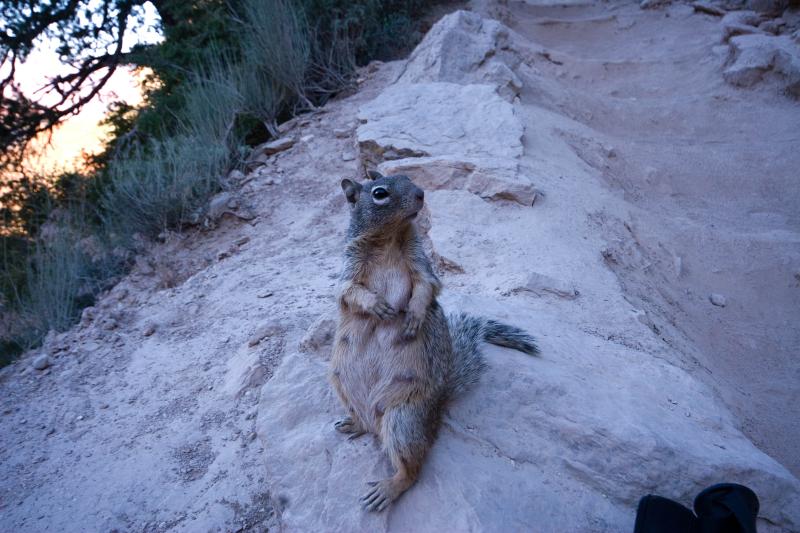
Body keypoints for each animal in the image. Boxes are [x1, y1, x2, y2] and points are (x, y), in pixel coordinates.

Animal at [328, 170, 540, 512]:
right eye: (379, 193)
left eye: (407, 176)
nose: (421, 194)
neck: (390, 238)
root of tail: (439, 400)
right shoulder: (347, 270)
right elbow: (350, 291)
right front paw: (377, 306)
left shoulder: (422, 265)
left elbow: (426, 287)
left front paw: (414, 315)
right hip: (342, 387)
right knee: (368, 425)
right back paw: (353, 424)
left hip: (403, 419)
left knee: (411, 469)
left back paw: (386, 488)